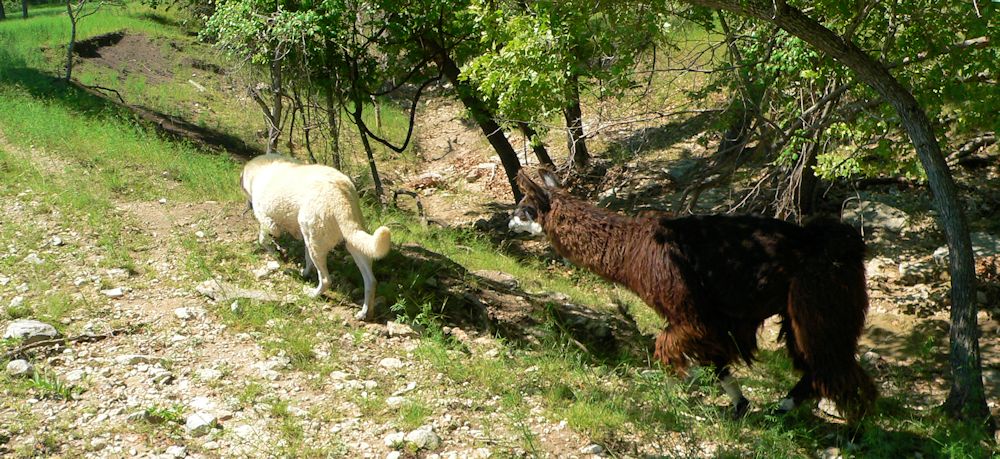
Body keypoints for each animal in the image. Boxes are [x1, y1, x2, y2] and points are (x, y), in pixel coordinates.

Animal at [241, 155, 390, 320]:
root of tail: (340, 193)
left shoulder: (270, 224)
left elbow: (263, 240)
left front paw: (277, 254)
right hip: (350, 241)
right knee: (371, 281)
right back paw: (364, 313)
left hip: (315, 241)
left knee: (325, 280)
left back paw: (312, 294)